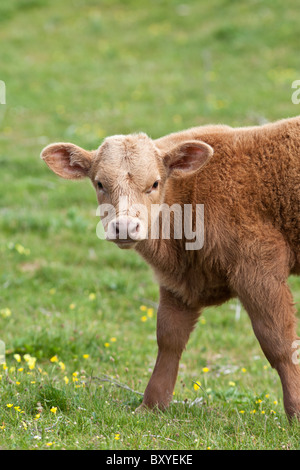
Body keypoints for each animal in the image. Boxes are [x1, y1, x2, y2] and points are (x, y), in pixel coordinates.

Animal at [41, 116, 300, 418]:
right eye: (100, 183)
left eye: (154, 183)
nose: (125, 226)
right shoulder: (178, 282)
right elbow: (169, 338)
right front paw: (151, 404)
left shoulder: (259, 267)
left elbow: (279, 342)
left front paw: (296, 410)